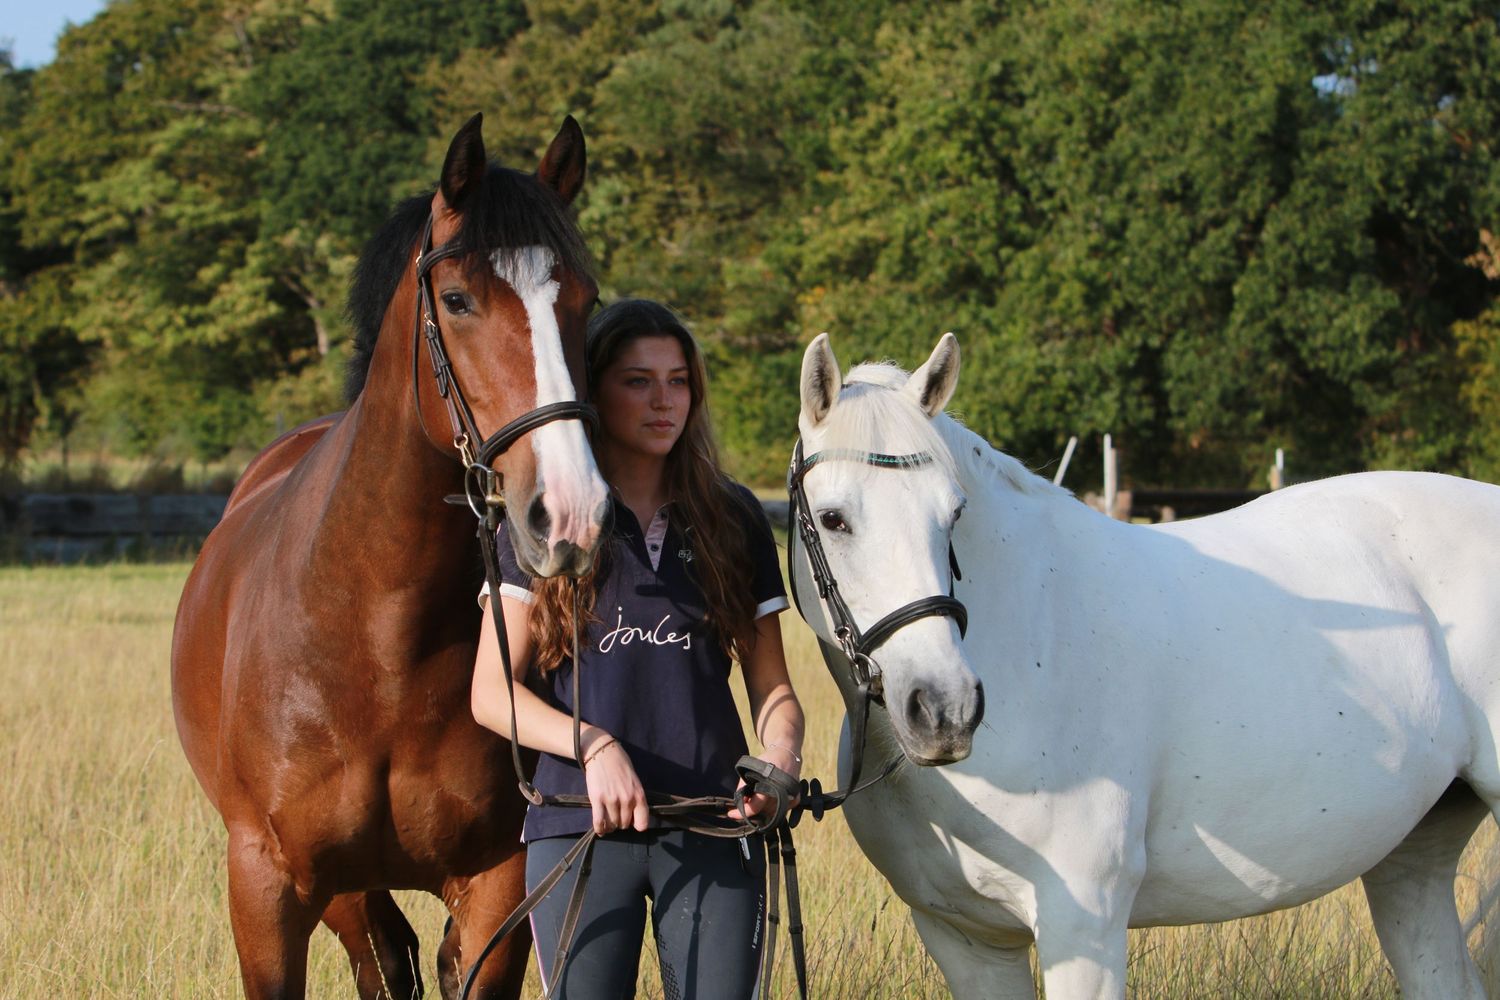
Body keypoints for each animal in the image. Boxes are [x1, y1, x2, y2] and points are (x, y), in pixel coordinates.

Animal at [171, 114, 610, 1000]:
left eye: (584, 302)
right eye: (458, 299)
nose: (571, 512)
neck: (376, 641)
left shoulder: (497, 885)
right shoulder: (268, 888)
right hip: (343, 893)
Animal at [789, 331, 1500, 999]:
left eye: (954, 514)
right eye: (833, 519)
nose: (945, 710)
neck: (1032, 638)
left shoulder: (1084, 925)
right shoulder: (965, 938)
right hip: (1410, 858)